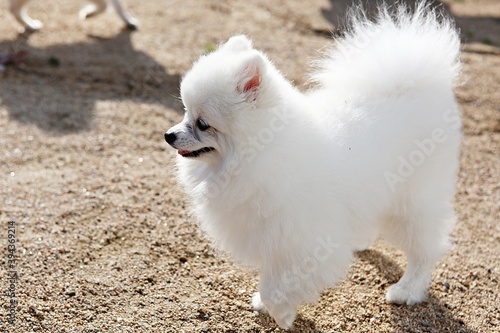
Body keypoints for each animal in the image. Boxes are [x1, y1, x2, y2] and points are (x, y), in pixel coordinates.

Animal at [164, 1, 460, 330]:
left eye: (203, 124)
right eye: (185, 112)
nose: (169, 135)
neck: (259, 155)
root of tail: (418, 81)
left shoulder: (304, 241)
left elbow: (275, 286)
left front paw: (281, 314)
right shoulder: (274, 238)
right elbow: (273, 277)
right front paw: (270, 307)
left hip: (413, 202)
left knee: (425, 250)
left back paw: (408, 289)